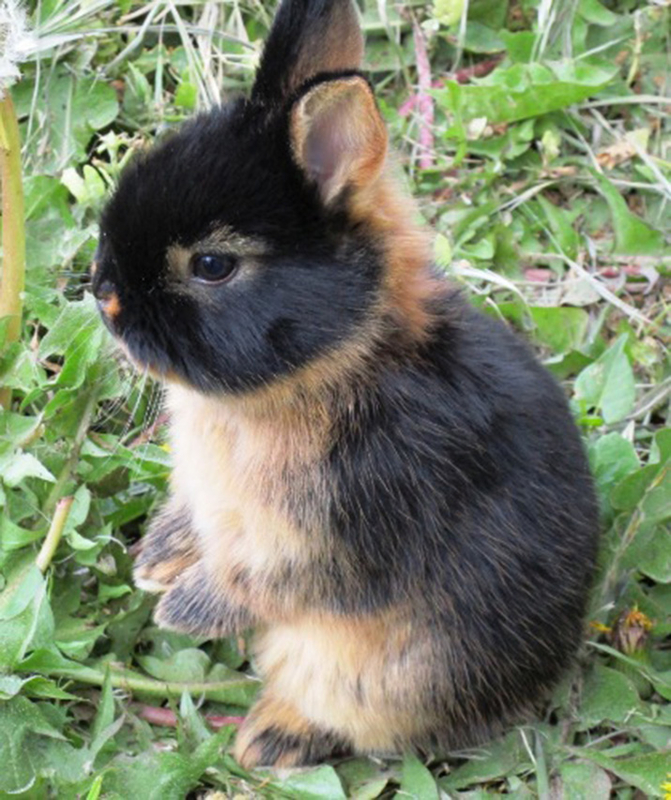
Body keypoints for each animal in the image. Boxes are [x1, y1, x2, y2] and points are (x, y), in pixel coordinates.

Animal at [92, 0, 600, 769]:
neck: (331, 364)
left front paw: (180, 606)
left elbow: (265, 580)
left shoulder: (335, 534)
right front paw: (156, 563)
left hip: (378, 675)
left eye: (212, 265)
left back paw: (266, 742)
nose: (105, 299)